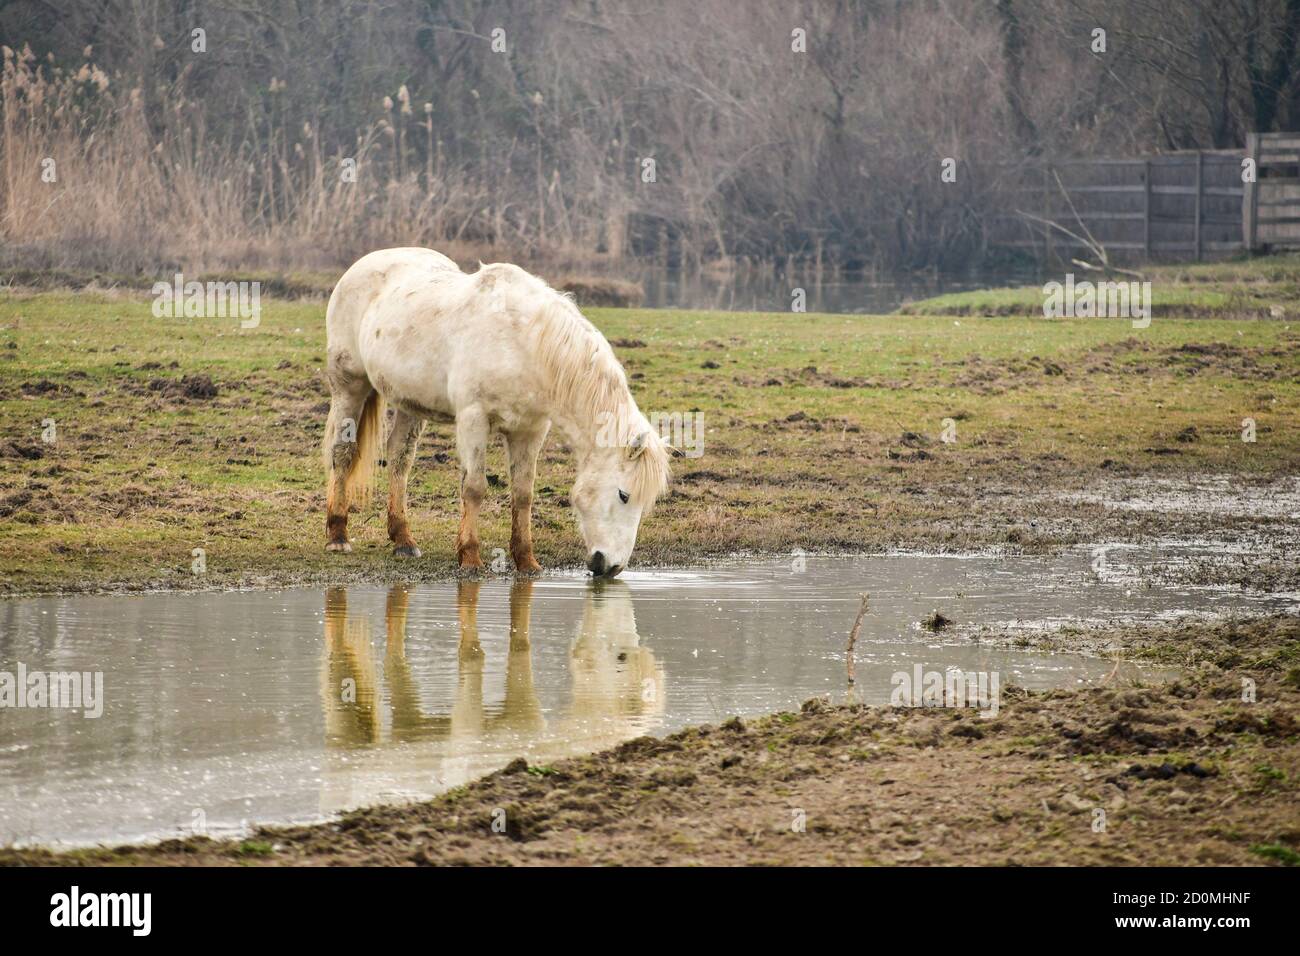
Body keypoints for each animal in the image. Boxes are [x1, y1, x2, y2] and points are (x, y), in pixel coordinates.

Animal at [322, 247, 670, 574]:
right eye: (623, 495)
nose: (611, 567)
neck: (524, 344)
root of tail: (364, 264)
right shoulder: (474, 419)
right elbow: (474, 488)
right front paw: (470, 557)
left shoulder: (530, 430)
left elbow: (523, 494)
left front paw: (526, 561)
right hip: (349, 386)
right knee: (343, 453)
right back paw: (338, 536)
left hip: (410, 403)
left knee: (399, 458)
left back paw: (403, 540)